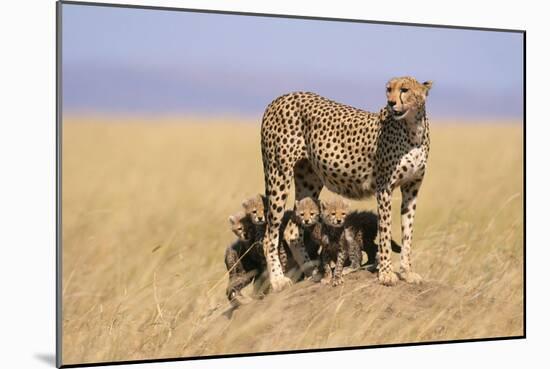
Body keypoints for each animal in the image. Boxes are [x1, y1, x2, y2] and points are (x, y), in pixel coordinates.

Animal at [260, 77, 434, 290]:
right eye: (388, 89)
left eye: (405, 89)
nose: (391, 103)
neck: (412, 128)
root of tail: (282, 97)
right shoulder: (384, 188)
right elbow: (385, 232)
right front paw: (386, 274)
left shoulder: (412, 189)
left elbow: (408, 233)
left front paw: (407, 273)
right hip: (278, 174)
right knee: (270, 235)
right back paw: (278, 280)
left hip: (309, 180)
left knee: (292, 230)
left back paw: (313, 272)